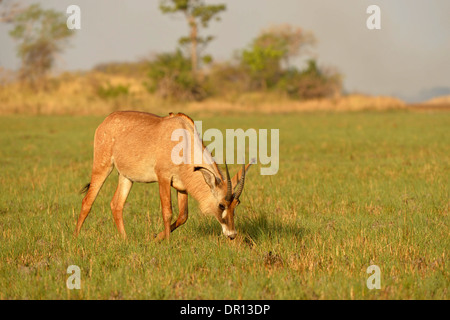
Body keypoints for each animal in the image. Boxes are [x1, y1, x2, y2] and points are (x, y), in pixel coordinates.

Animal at [73, 111, 250, 239]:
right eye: (221, 205)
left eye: (237, 204)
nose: (232, 234)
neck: (184, 141)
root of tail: (106, 121)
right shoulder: (163, 178)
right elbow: (167, 212)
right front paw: (167, 243)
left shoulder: (181, 187)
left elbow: (183, 216)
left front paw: (156, 238)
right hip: (102, 166)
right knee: (87, 201)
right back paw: (75, 238)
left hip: (126, 177)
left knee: (116, 205)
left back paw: (125, 239)